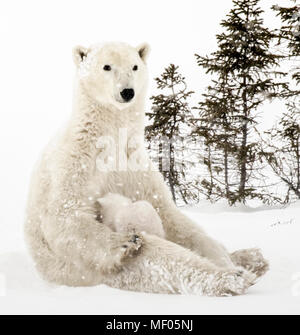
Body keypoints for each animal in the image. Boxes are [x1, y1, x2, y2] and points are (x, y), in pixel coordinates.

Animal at [24, 42, 268, 296]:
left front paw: (225, 257)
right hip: (99, 272)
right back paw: (232, 277)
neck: (109, 138)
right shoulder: (75, 162)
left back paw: (249, 259)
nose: (127, 92)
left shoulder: (135, 167)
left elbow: (168, 212)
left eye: (134, 66)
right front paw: (123, 243)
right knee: (159, 257)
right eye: (107, 66)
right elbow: (65, 215)